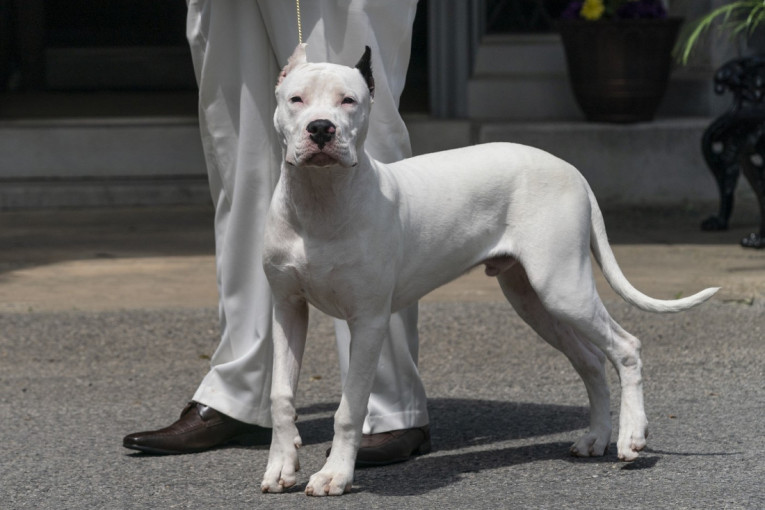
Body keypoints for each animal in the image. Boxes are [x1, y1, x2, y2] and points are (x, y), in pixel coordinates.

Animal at [260, 45, 720, 496]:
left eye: (349, 101)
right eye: (296, 99)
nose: (321, 129)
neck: (319, 201)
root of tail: (571, 169)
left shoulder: (368, 320)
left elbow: (350, 408)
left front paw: (335, 474)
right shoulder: (287, 309)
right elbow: (280, 395)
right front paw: (281, 466)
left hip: (563, 289)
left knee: (625, 346)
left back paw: (631, 437)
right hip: (532, 300)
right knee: (591, 359)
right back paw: (596, 437)